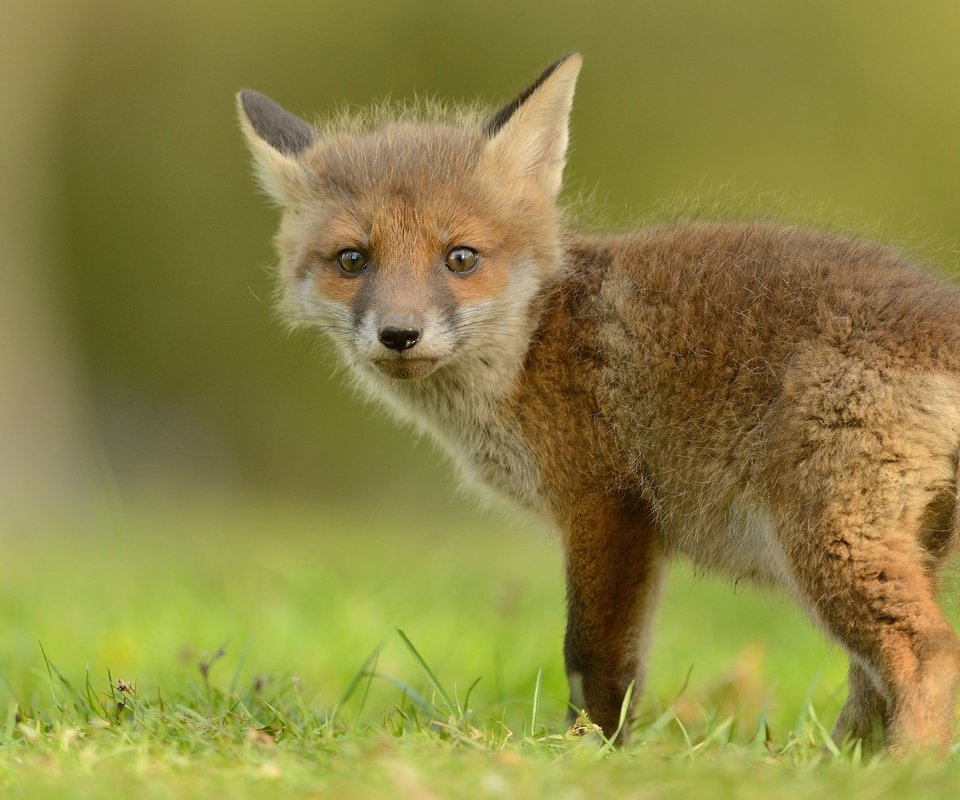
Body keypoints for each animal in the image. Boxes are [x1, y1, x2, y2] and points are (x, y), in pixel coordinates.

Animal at [238, 56, 960, 756]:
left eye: (460, 257)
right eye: (352, 259)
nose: (399, 333)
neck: (535, 341)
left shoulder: (604, 506)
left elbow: (594, 661)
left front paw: (589, 754)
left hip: (826, 539)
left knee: (928, 653)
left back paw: (903, 771)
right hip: (903, 545)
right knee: (872, 680)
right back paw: (832, 766)